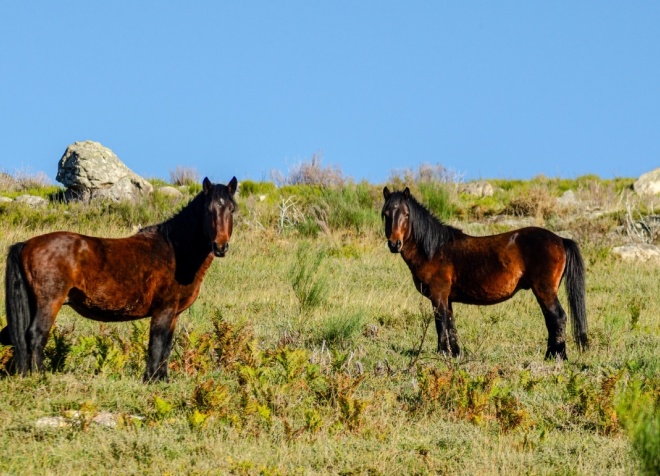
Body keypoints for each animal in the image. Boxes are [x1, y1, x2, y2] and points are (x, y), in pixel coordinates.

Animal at [1, 176, 237, 382]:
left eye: (232, 209)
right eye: (207, 210)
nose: (220, 246)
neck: (175, 251)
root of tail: (27, 244)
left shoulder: (174, 315)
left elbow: (167, 347)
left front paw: (163, 379)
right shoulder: (163, 311)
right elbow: (156, 345)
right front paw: (150, 379)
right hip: (50, 302)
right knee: (36, 335)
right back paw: (39, 376)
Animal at [382, 186, 588, 360]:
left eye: (406, 214)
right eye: (386, 214)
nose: (394, 244)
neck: (434, 249)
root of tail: (560, 239)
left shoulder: (438, 295)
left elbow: (441, 324)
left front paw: (442, 354)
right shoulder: (447, 298)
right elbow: (451, 325)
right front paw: (455, 354)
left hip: (544, 290)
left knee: (557, 317)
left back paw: (556, 357)